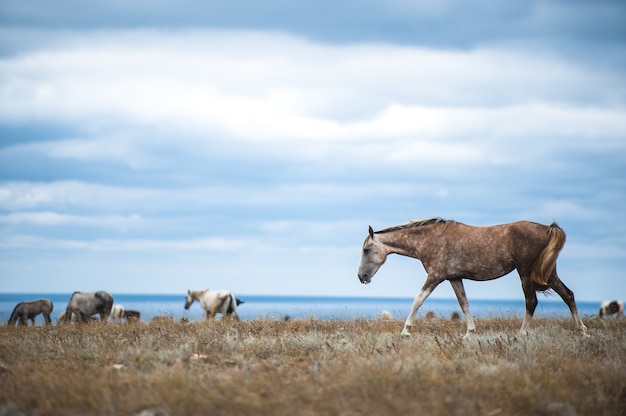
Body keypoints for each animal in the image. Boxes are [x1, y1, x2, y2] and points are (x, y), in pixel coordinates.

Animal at [358, 218, 588, 338]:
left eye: (367, 250)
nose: (361, 277)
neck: (429, 239)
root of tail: (547, 229)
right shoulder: (454, 278)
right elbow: (464, 303)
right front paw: (470, 332)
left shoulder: (435, 276)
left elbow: (418, 300)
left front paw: (405, 331)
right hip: (549, 274)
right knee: (568, 295)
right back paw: (582, 330)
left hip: (525, 274)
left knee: (531, 302)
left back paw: (522, 334)